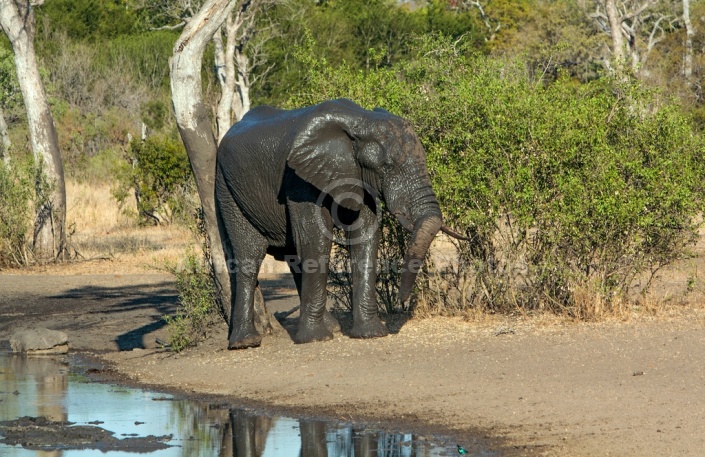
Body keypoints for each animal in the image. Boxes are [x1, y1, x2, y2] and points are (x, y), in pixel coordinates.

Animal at [214, 98, 460, 348]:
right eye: (387, 166)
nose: (403, 303)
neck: (360, 121)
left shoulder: (358, 176)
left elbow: (365, 237)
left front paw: (370, 333)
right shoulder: (299, 179)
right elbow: (316, 240)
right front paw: (315, 339)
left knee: (293, 257)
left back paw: (328, 325)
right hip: (226, 188)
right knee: (249, 255)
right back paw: (245, 342)